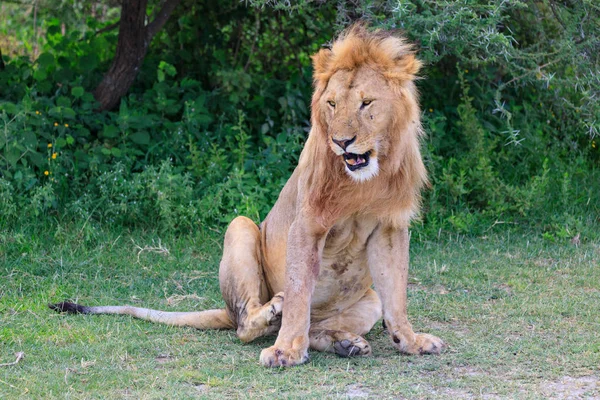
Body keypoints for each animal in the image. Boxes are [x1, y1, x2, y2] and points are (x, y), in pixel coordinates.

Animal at [50, 25, 446, 368]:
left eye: (366, 103)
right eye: (332, 104)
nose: (341, 141)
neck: (363, 181)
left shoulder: (391, 227)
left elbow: (397, 295)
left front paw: (411, 341)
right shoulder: (308, 222)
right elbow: (299, 290)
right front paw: (285, 352)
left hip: (367, 301)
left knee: (317, 327)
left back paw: (345, 343)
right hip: (240, 227)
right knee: (248, 325)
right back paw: (272, 315)